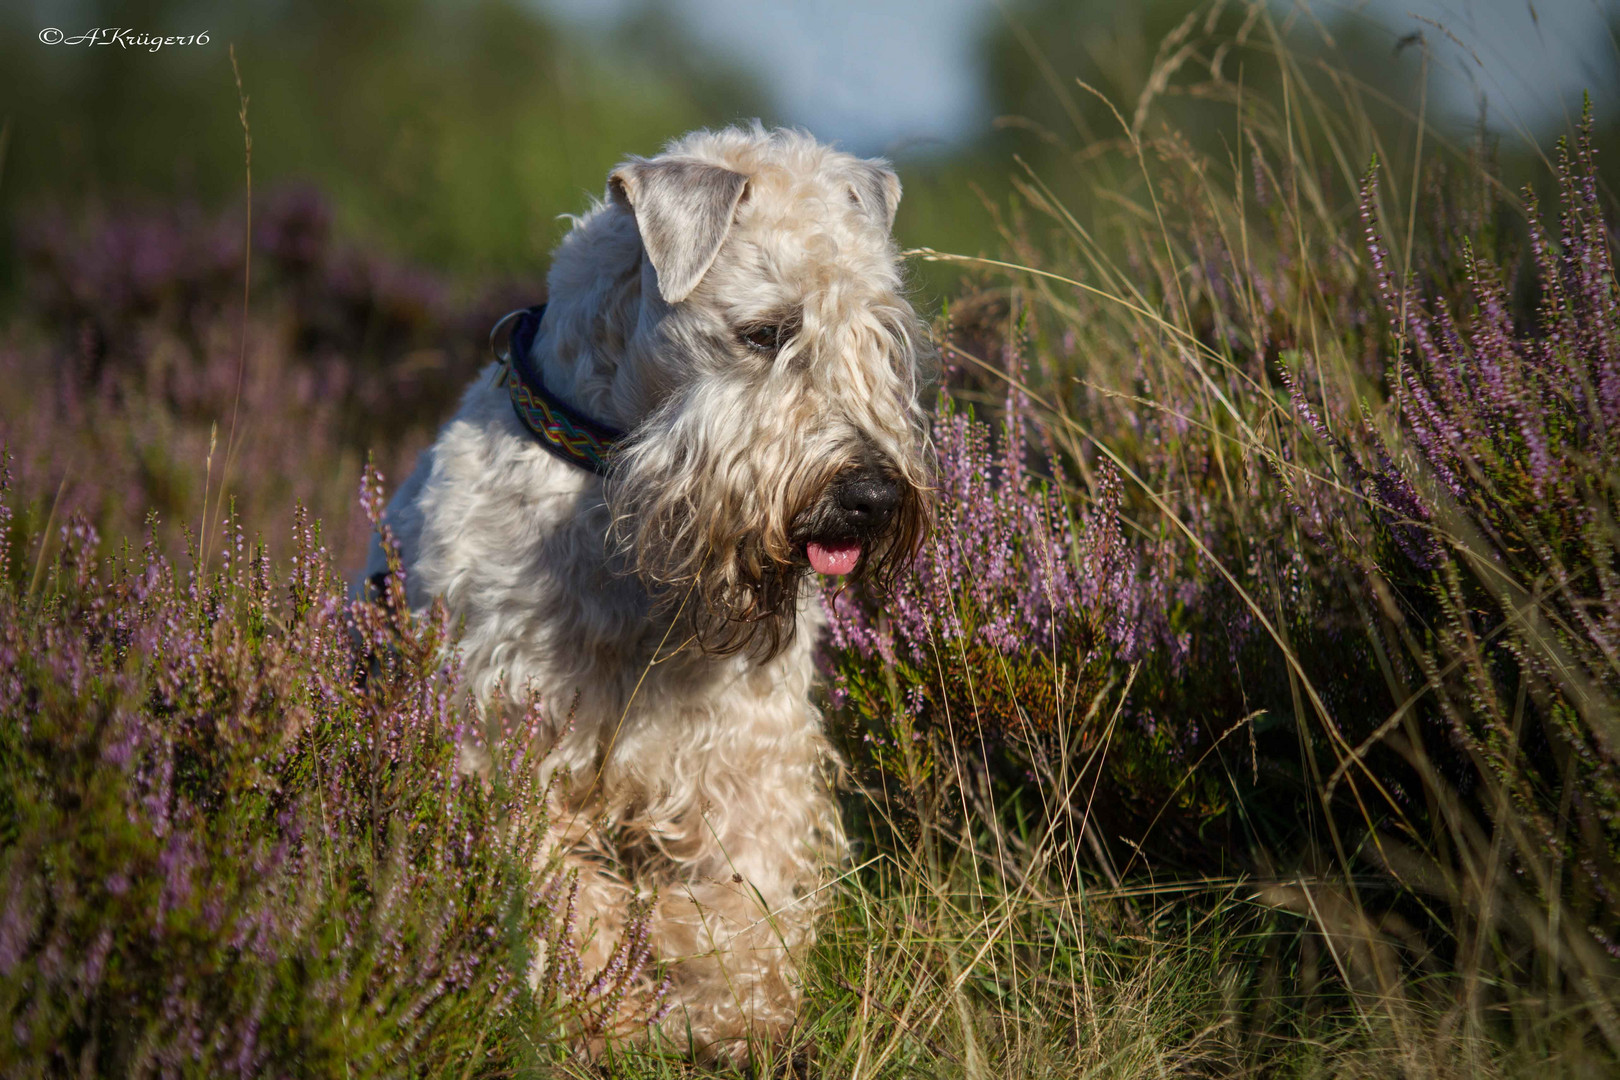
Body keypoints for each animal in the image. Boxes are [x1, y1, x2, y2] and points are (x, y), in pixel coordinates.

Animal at [362, 122, 933, 1062]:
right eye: (765, 332)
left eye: (879, 331)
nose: (873, 496)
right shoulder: (505, 736)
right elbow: (563, 899)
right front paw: (604, 1010)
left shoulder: (746, 751)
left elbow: (742, 896)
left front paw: (732, 1005)